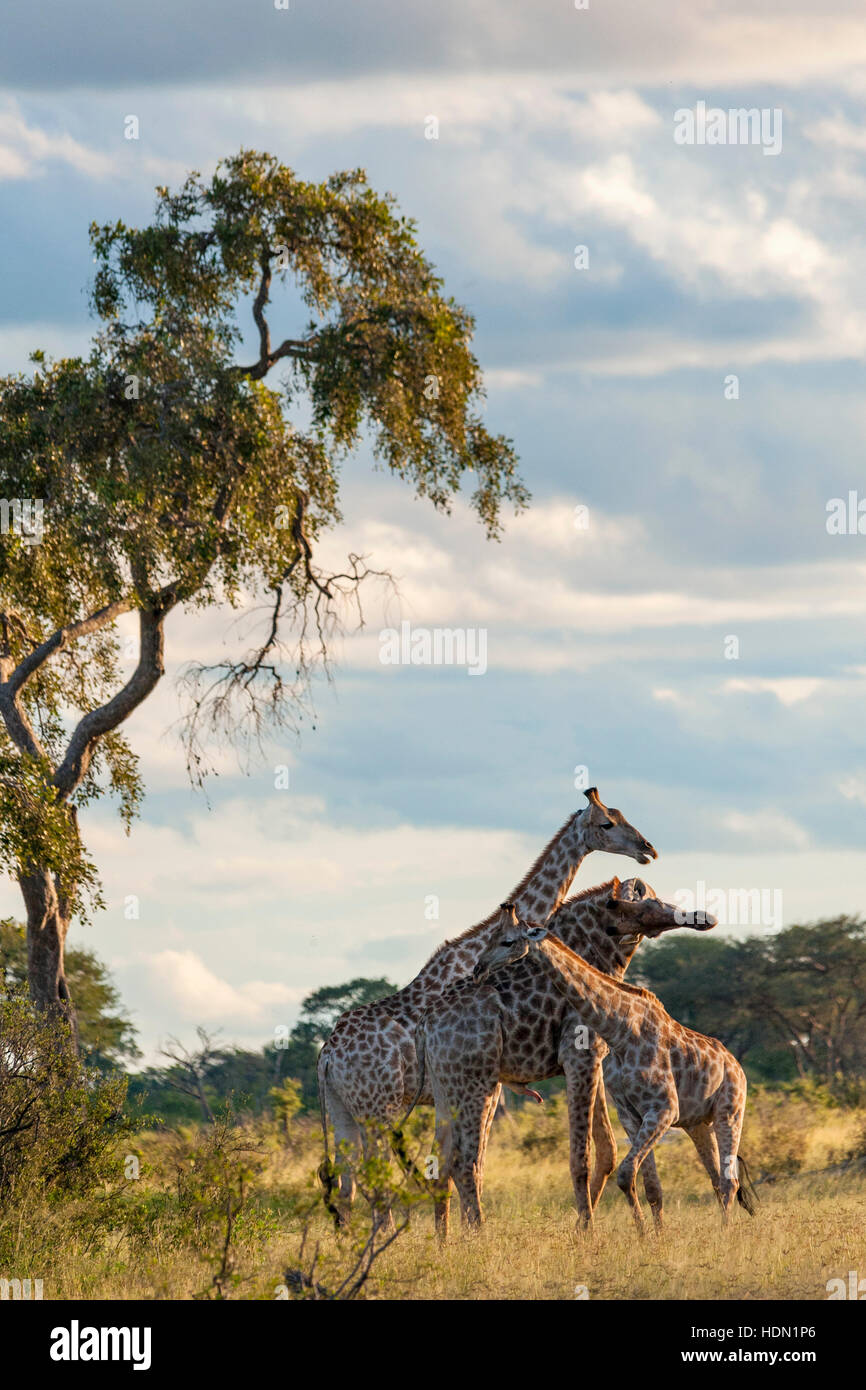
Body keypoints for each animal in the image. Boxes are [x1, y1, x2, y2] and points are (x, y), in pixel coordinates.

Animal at [317, 788, 657, 1225]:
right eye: (607, 824)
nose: (647, 849)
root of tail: (327, 1056)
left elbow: (453, 1165)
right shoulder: (484, 1087)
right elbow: (465, 1163)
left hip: (343, 1111)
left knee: (346, 1187)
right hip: (378, 1109)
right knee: (372, 1183)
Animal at [410, 878, 716, 1236]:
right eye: (649, 901)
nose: (703, 917)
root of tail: (426, 1023)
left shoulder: (593, 1060)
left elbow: (607, 1150)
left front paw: (584, 1226)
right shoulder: (580, 1056)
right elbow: (581, 1156)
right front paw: (589, 1232)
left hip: (446, 1087)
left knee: (440, 1163)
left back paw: (445, 1240)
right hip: (477, 1083)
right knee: (466, 1162)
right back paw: (478, 1237)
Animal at [473, 914, 756, 1234]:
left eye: (507, 940)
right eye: (492, 936)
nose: (479, 968)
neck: (620, 1031)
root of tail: (737, 1067)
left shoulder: (663, 1109)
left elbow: (625, 1173)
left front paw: (646, 1233)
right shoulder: (631, 1114)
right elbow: (648, 1185)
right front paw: (653, 1236)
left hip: (729, 1111)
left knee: (730, 1181)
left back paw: (725, 1233)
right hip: (697, 1123)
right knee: (717, 1180)